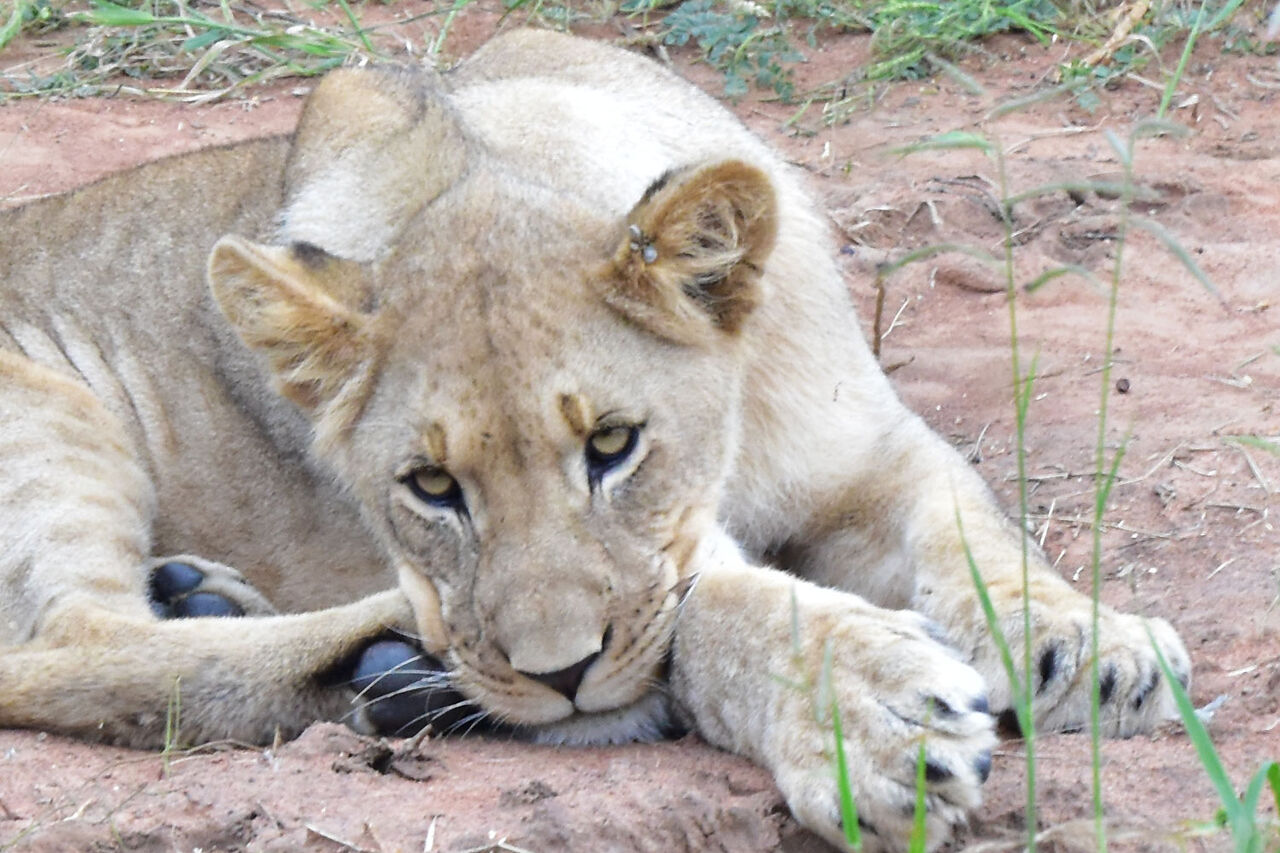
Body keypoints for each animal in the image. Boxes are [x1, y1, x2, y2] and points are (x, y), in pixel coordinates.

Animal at [0, 29, 1190, 852]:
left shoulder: (864, 452)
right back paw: (390, 654)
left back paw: (215, 596)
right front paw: (866, 717)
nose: (558, 675)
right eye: (431, 485)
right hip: (46, 408)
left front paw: (1088, 649)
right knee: (71, 648)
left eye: (613, 444)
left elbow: (970, 527)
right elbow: (708, 604)